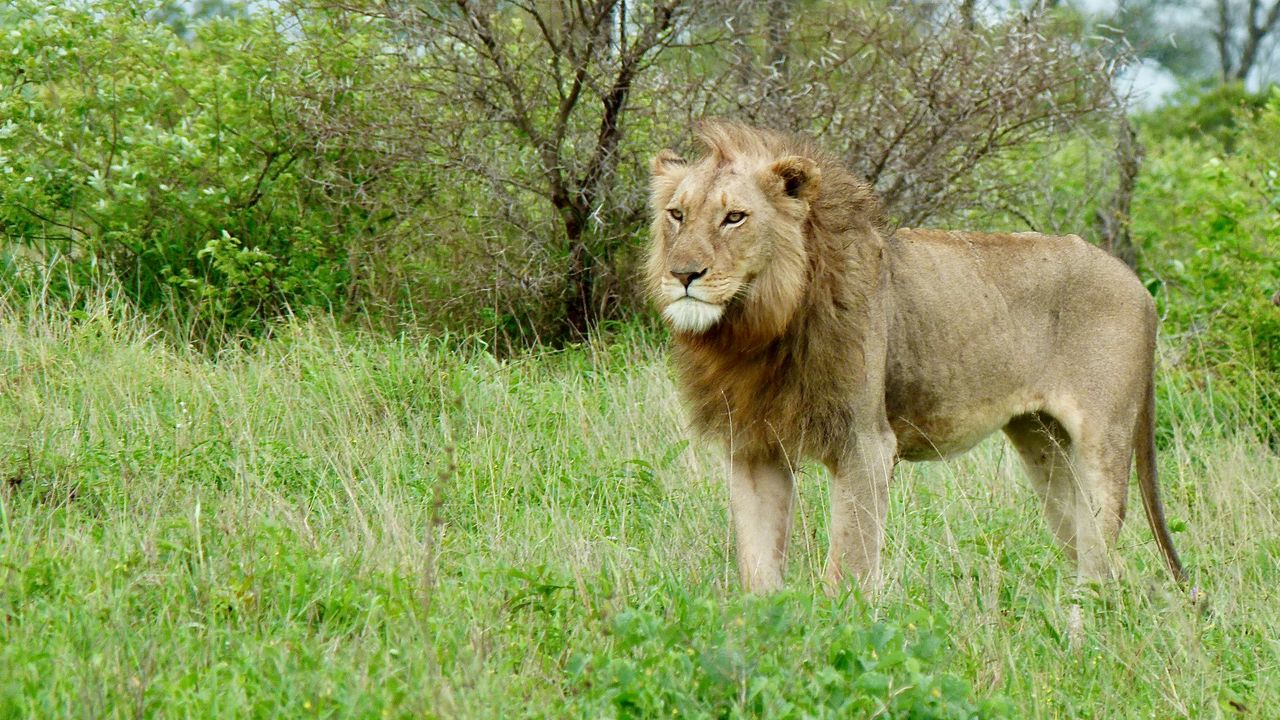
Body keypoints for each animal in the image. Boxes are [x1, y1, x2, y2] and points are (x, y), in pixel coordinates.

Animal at [646, 120, 1186, 593]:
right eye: (677, 215)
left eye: (734, 217)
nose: (683, 274)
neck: (754, 328)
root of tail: (1138, 285)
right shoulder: (754, 446)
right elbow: (758, 571)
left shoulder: (866, 442)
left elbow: (850, 568)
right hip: (1043, 443)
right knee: (1094, 558)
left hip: (1103, 440)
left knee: (1102, 558)